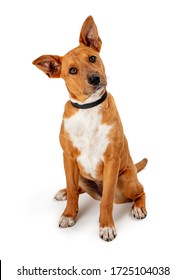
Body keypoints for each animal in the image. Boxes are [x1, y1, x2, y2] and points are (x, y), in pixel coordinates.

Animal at [33, 15, 147, 241]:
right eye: (72, 70)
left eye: (92, 58)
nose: (95, 79)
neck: (89, 108)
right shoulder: (68, 158)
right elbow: (71, 187)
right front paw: (69, 214)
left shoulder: (111, 160)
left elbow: (106, 201)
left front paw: (106, 226)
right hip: (82, 175)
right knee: (77, 188)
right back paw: (64, 192)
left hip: (125, 182)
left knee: (140, 191)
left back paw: (138, 207)